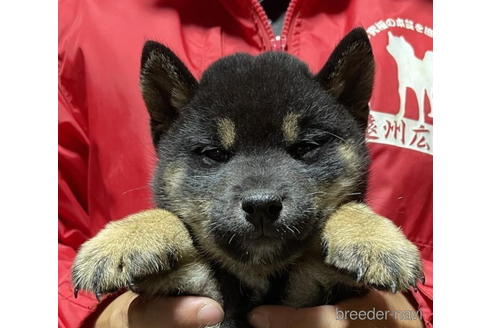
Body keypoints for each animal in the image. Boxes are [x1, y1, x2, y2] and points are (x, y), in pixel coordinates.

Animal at [72, 28, 422, 328]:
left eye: (305, 147)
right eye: (214, 153)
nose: (261, 206)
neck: (257, 275)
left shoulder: (322, 283)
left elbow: (347, 208)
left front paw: (374, 240)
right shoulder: (188, 283)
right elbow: (170, 218)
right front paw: (125, 238)